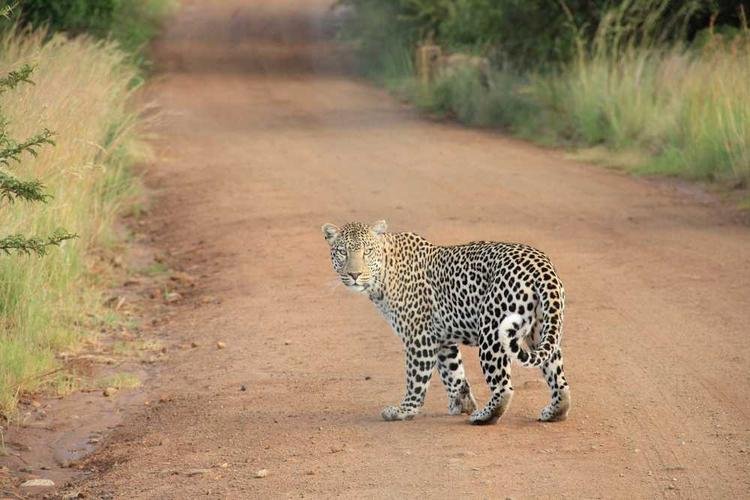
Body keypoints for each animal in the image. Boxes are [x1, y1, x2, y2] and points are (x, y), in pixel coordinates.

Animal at [320, 221, 572, 424]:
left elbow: (416, 378)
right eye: (342, 252)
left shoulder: (419, 337)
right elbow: (454, 374)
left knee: (504, 387)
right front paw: (461, 404)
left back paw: (483, 416)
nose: (354, 275)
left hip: (492, 332)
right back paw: (554, 412)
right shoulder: (442, 339)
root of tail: (541, 266)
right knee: (558, 378)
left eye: (368, 252)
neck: (383, 276)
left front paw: (404, 411)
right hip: (542, 330)